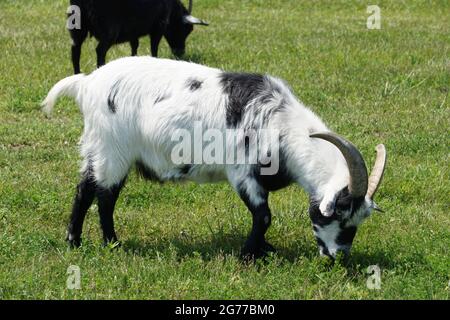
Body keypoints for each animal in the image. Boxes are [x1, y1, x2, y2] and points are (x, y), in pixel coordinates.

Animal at [43, 56, 386, 258]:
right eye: (339, 214)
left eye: (359, 221)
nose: (338, 255)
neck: (281, 123)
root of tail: (86, 83)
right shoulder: (243, 173)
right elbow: (263, 216)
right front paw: (248, 255)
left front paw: (265, 249)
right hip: (113, 149)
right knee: (105, 195)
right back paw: (112, 243)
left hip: (97, 148)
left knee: (85, 188)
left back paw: (74, 242)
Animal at [67, 0, 208, 73]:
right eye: (187, 29)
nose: (180, 53)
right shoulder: (159, 25)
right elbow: (154, 47)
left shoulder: (133, 30)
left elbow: (134, 46)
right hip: (109, 30)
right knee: (100, 51)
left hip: (77, 26)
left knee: (75, 49)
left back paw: (77, 73)